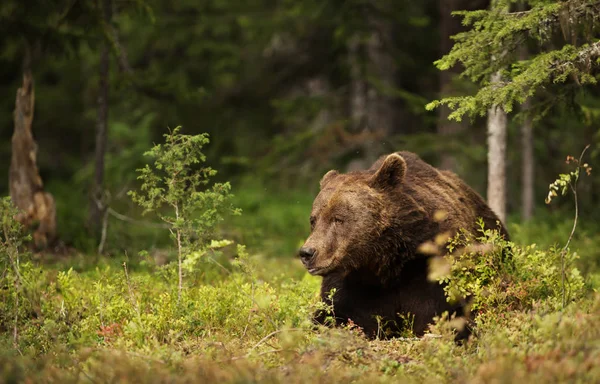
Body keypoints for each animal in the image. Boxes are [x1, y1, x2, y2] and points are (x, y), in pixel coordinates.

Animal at [298, 152, 506, 338]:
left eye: (338, 219)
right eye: (313, 220)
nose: (307, 253)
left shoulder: (432, 265)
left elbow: (448, 312)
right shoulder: (353, 283)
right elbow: (336, 314)